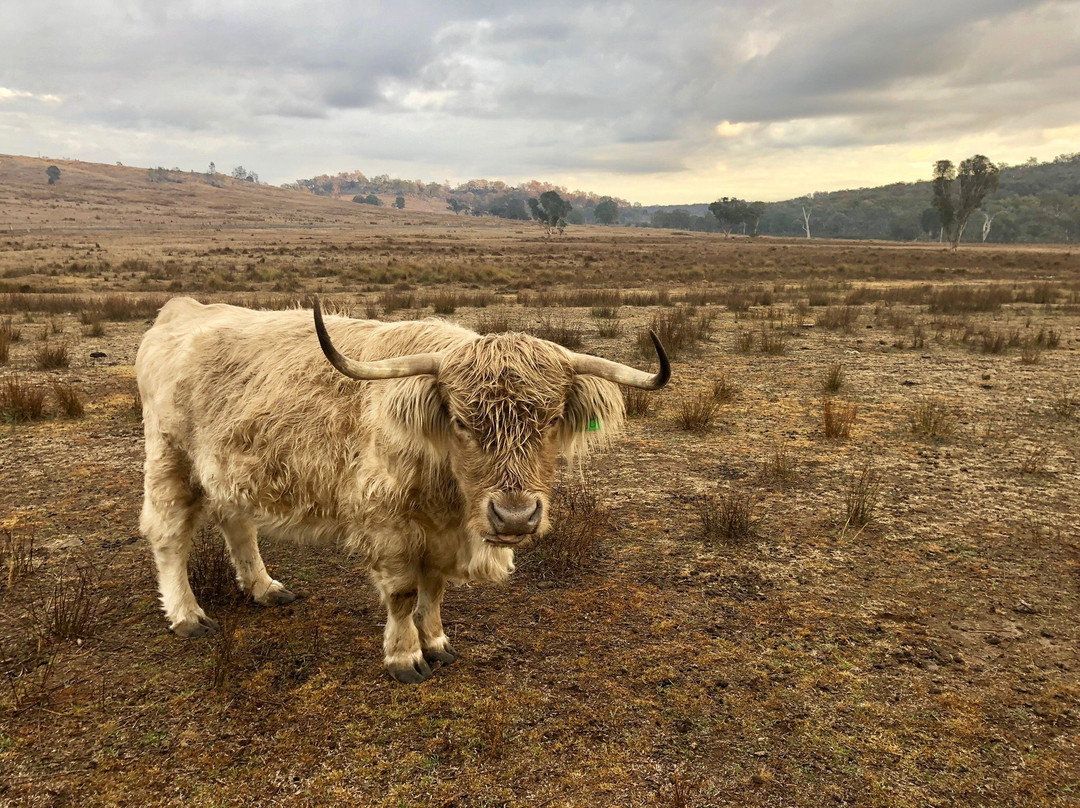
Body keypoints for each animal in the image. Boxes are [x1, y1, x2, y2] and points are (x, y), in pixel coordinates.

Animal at [135, 295, 665, 682]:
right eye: (461, 422)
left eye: (552, 420)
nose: (514, 517)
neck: (450, 495)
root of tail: (182, 310)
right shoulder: (388, 527)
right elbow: (404, 594)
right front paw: (406, 656)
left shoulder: (439, 535)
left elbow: (435, 590)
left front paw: (437, 642)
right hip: (169, 459)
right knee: (168, 535)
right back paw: (186, 615)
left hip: (229, 470)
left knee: (238, 525)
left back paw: (264, 588)